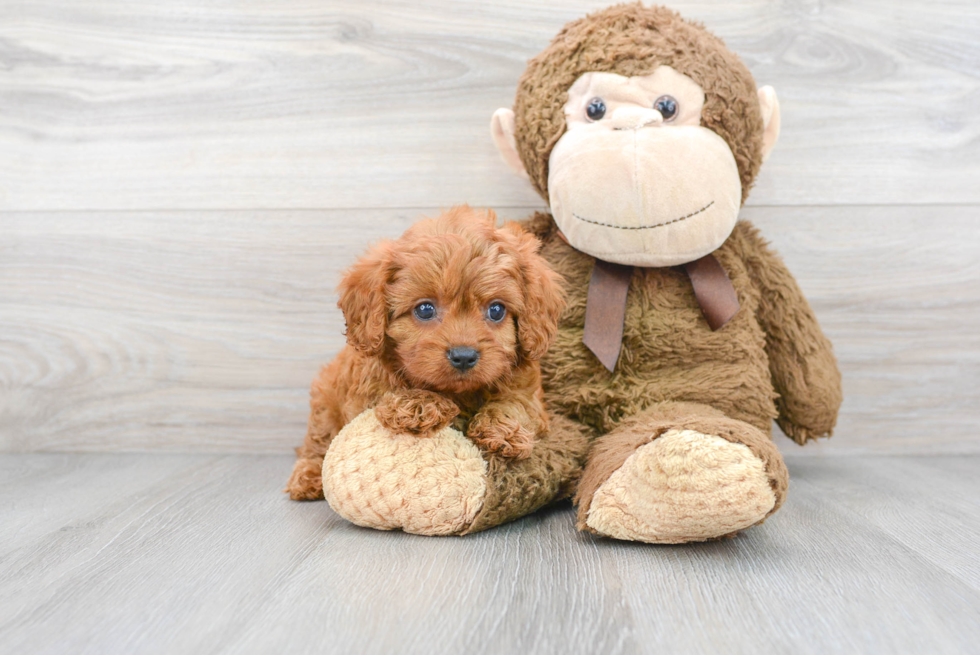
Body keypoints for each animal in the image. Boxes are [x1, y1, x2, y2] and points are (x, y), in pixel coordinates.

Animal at [284, 208, 564, 500]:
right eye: (425, 309)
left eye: (496, 310)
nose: (464, 356)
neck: (459, 392)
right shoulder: (368, 386)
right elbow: (390, 392)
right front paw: (418, 403)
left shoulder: (529, 392)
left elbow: (517, 402)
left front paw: (503, 429)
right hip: (325, 401)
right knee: (318, 442)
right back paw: (308, 476)